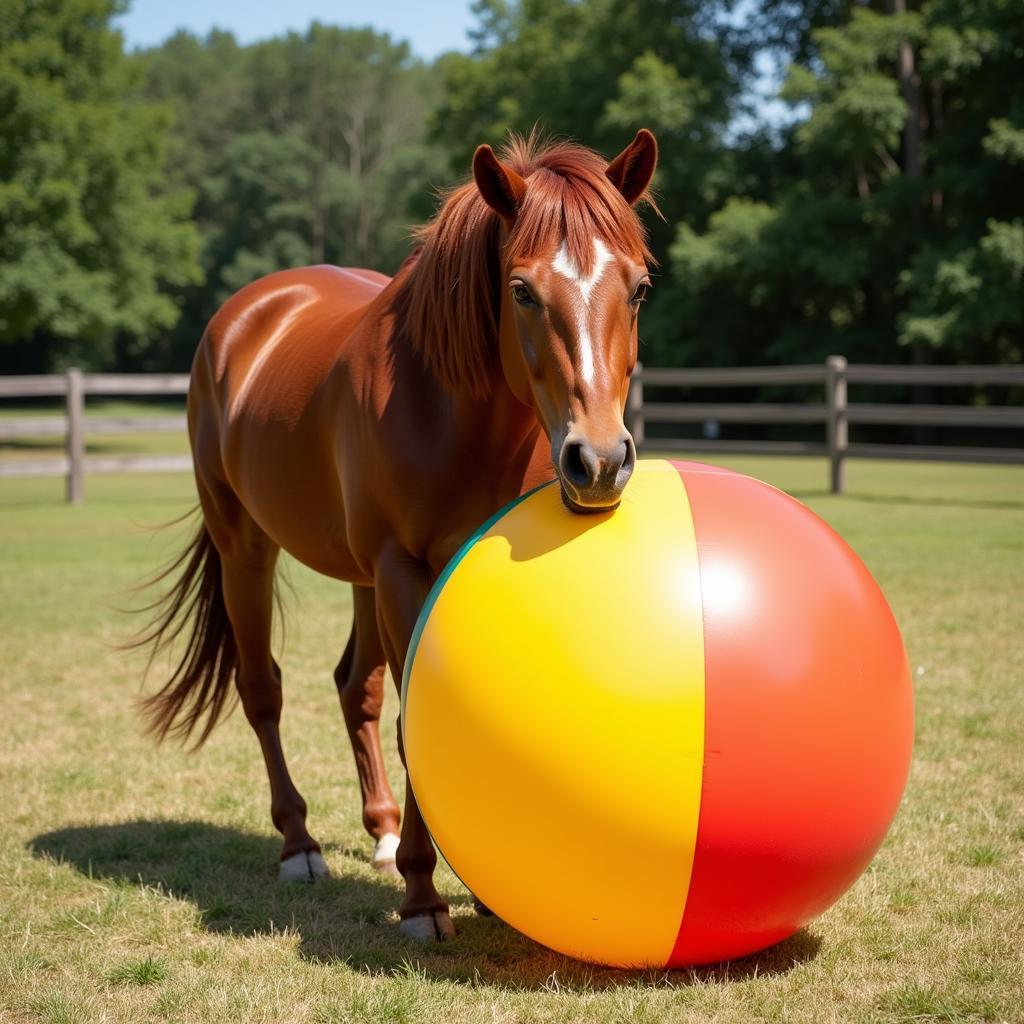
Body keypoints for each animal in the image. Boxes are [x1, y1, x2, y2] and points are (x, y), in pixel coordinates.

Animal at [136, 130, 659, 942]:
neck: (452, 409)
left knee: (356, 688)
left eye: (637, 288)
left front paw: (481, 883)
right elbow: (421, 722)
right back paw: (300, 847)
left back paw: (380, 832)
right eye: (521, 290)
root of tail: (251, 311)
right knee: (263, 691)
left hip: (357, 577)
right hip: (246, 550)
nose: (599, 460)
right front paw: (423, 897)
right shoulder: (403, 570)